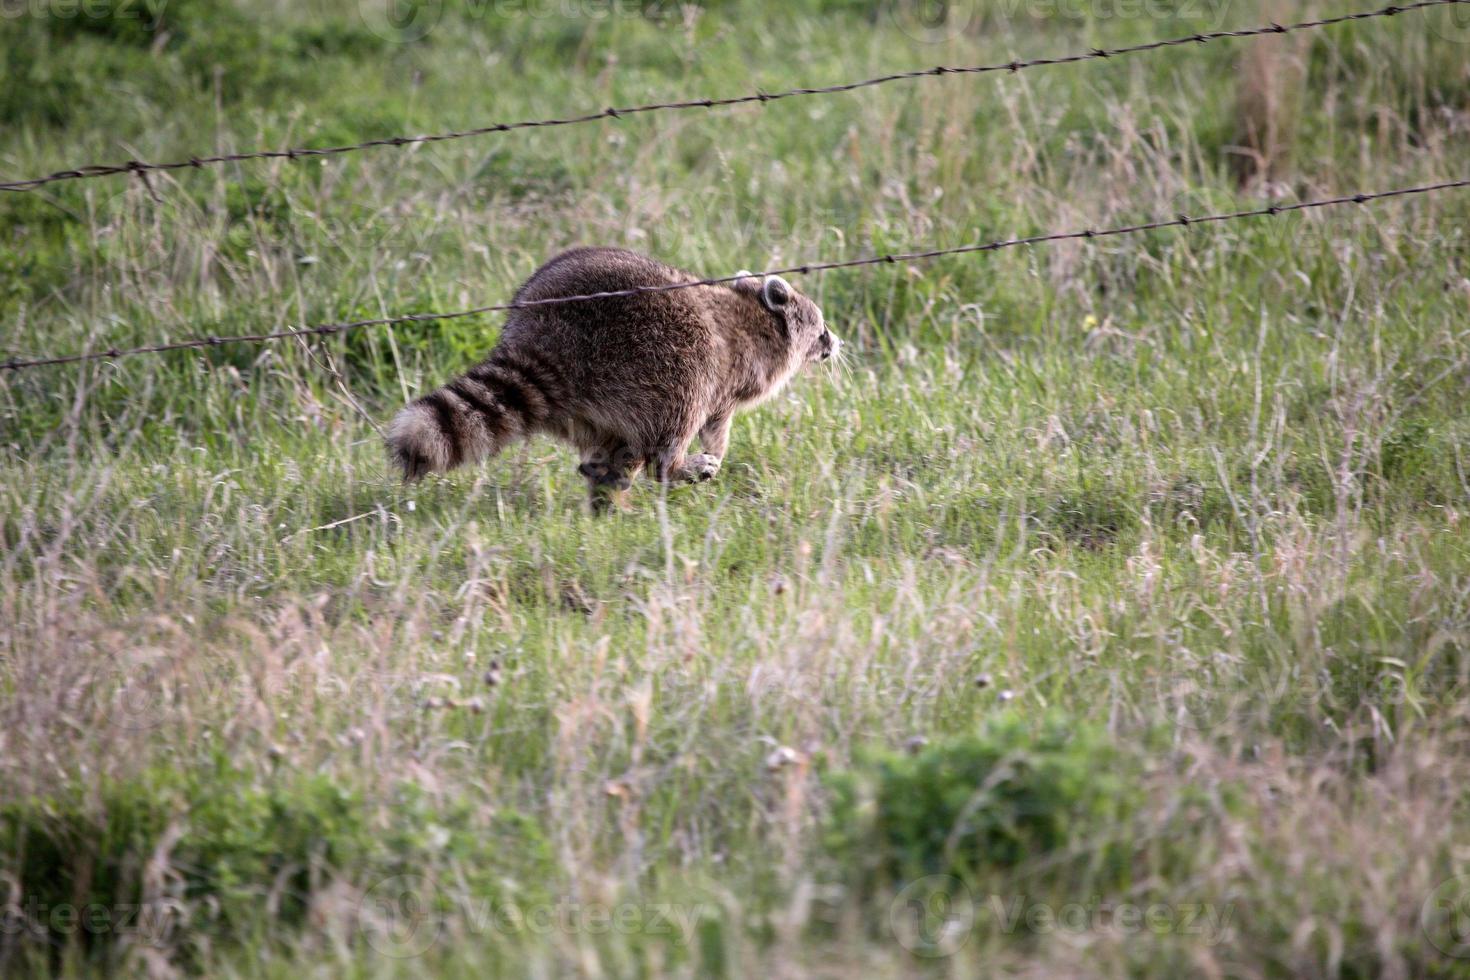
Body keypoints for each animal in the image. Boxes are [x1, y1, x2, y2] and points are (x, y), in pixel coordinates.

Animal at [385, 245, 840, 511]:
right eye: (821, 330)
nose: (836, 342)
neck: (758, 313)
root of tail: (547, 342)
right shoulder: (739, 371)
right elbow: (717, 419)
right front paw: (717, 448)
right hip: (661, 358)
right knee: (679, 412)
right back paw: (673, 465)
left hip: (596, 400)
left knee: (616, 442)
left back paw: (607, 477)